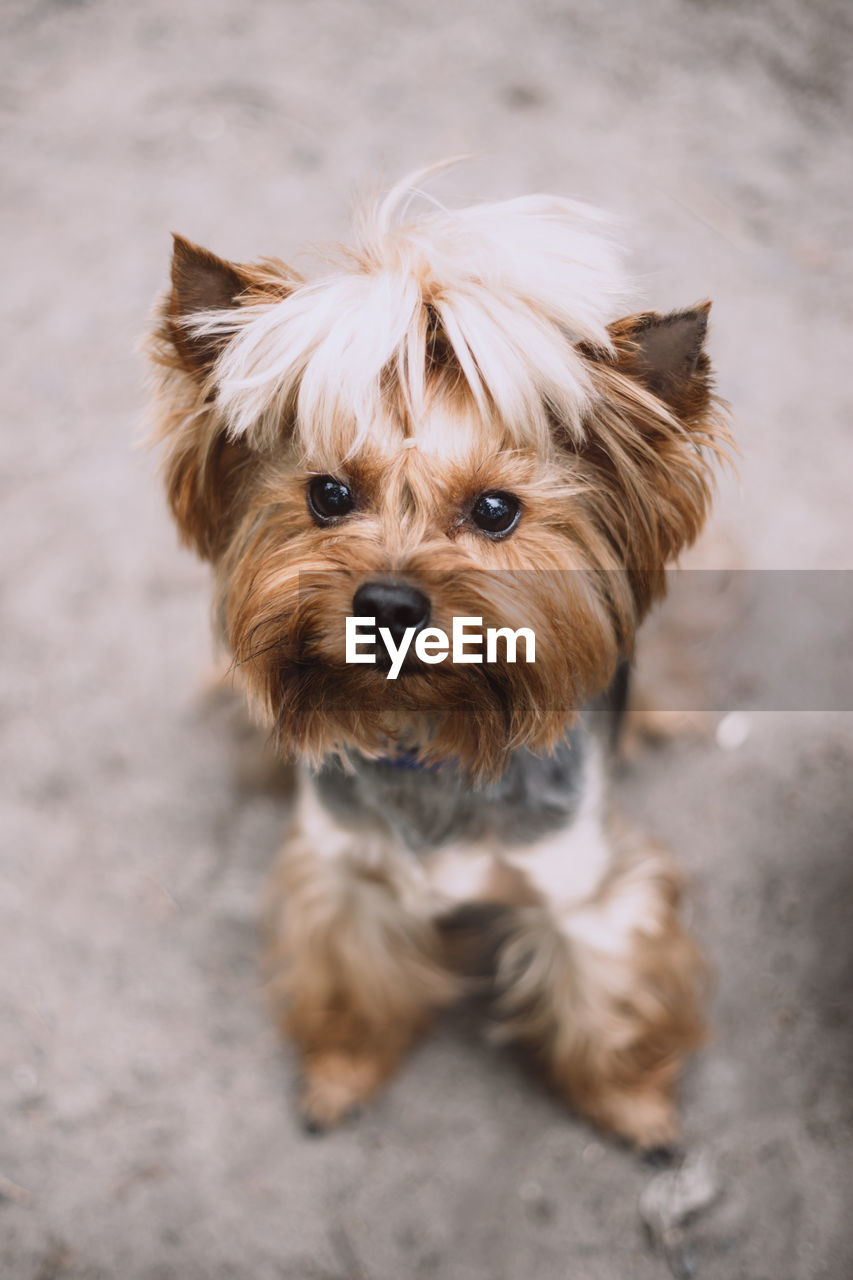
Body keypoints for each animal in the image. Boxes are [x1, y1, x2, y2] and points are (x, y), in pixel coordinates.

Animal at [146, 172, 722, 1152]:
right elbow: (352, 979)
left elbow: (605, 995)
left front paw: (632, 1105)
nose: (387, 602)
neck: (430, 735)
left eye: (495, 511)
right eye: (327, 495)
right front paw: (341, 1072)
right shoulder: (346, 871)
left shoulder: (580, 885)